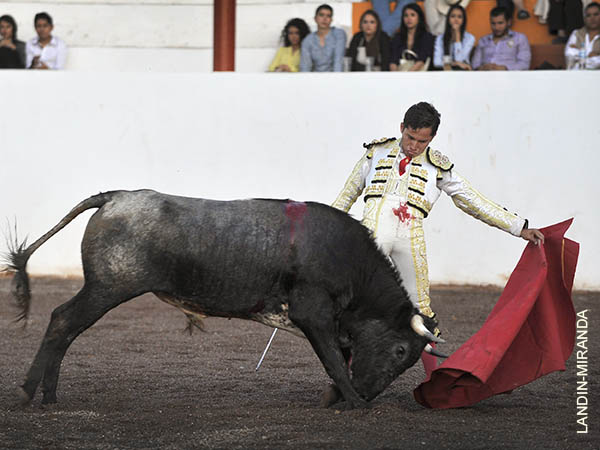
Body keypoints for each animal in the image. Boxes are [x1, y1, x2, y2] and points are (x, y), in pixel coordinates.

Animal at [7, 188, 440, 410]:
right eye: (401, 351)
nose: (368, 393)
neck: (349, 261)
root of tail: (117, 197)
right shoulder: (314, 315)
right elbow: (334, 358)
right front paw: (353, 401)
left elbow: (342, 358)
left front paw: (340, 396)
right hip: (108, 287)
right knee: (63, 320)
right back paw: (30, 392)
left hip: (104, 288)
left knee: (65, 327)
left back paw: (49, 395)